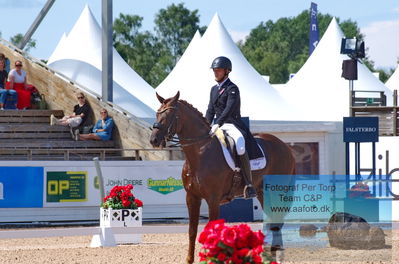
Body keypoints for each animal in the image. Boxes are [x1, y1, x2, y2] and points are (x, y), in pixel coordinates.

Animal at [151, 92, 296, 262]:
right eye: (157, 113)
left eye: (169, 115)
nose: (153, 140)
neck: (200, 153)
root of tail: (284, 146)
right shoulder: (192, 197)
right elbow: (192, 230)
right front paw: (190, 259)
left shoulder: (213, 199)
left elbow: (211, 231)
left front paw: (210, 258)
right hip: (262, 191)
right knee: (273, 219)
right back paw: (270, 253)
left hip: (276, 190)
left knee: (276, 219)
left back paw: (275, 253)